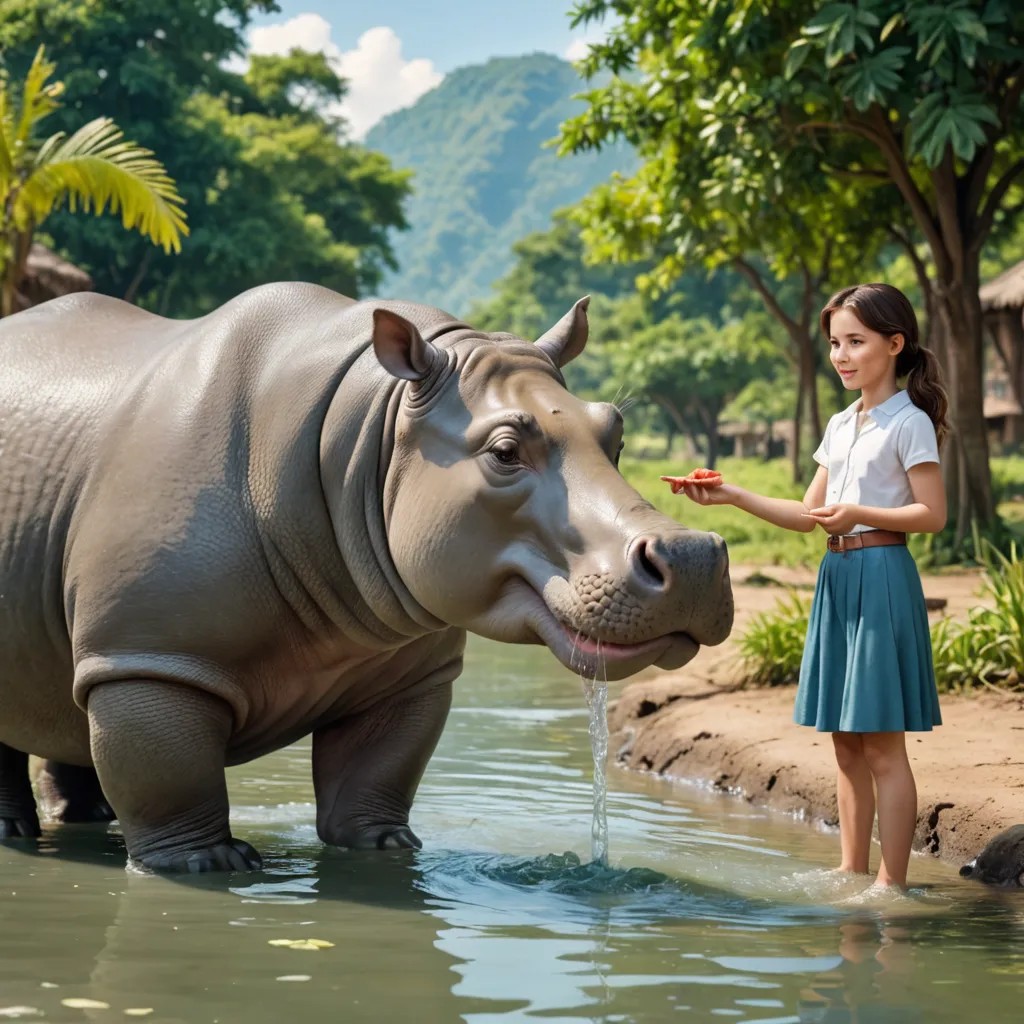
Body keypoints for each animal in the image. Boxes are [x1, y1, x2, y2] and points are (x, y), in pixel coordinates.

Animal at [0, 283, 732, 872]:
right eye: (503, 454)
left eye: (615, 436)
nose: (693, 558)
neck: (374, 428)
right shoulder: (153, 655)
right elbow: (167, 768)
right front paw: (204, 866)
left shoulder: (407, 660)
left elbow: (379, 769)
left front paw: (386, 849)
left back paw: (83, 821)